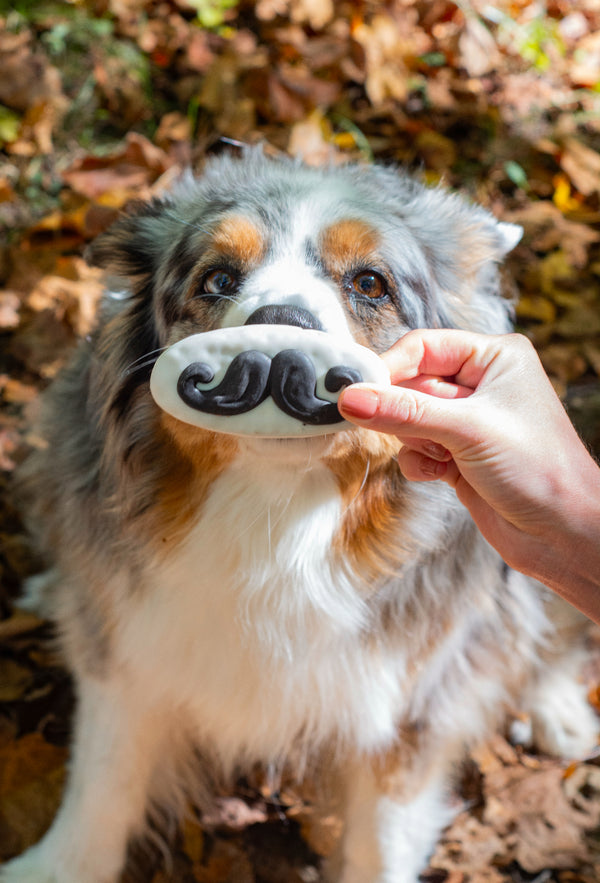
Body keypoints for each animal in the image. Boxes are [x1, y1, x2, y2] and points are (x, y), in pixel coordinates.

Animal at [2, 152, 596, 883]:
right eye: (218, 279)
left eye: (369, 283)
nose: (277, 338)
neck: (275, 521)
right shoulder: (132, 651)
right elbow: (104, 779)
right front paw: (56, 867)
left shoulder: (409, 703)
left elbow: (382, 839)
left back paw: (559, 708)